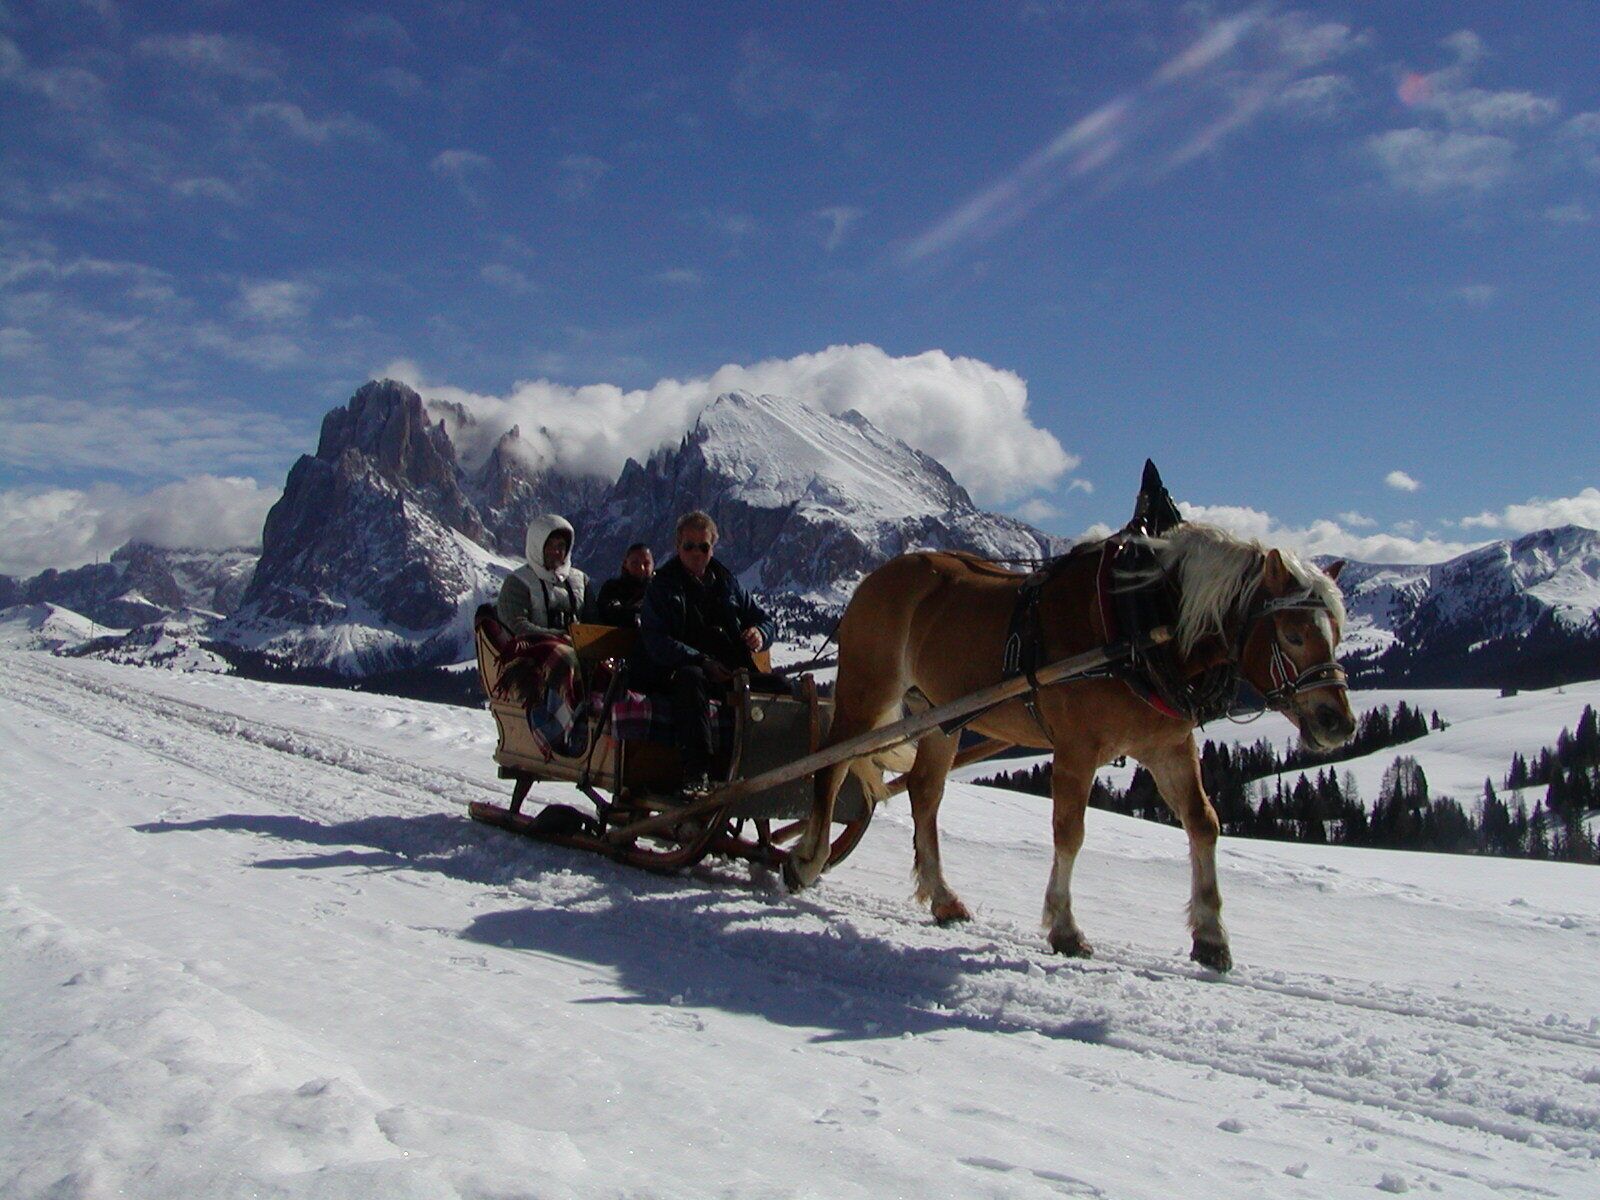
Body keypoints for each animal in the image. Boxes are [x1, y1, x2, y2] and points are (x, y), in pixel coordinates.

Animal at [785, 522, 1355, 972]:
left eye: (1338, 632)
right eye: (1293, 633)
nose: (1339, 723)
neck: (1138, 628)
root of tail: (877, 577)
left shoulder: (1168, 748)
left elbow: (1203, 823)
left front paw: (1211, 937)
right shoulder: (1077, 751)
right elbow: (1069, 832)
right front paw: (1064, 928)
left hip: (938, 715)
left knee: (925, 793)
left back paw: (942, 898)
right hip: (866, 692)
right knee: (830, 768)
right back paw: (806, 860)